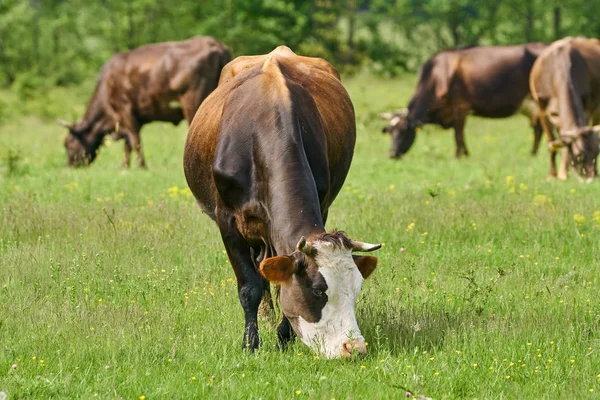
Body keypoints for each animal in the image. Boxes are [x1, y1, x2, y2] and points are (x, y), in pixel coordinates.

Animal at [58, 36, 231, 168]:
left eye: (68, 143)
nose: (69, 166)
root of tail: (214, 44)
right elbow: (128, 143)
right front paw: (125, 165)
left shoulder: (126, 111)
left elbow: (135, 141)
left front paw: (141, 165)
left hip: (193, 105)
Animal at [183, 45, 382, 358]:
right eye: (318, 290)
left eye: (357, 289)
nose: (354, 347)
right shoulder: (227, 221)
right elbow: (249, 286)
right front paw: (250, 344)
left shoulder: (320, 205)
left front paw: (284, 338)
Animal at [380, 42, 548, 158]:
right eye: (390, 131)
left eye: (403, 131)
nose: (392, 154)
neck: (438, 75)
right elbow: (459, 134)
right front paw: (465, 153)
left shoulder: (460, 107)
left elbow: (458, 134)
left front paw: (459, 156)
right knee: (538, 128)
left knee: (539, 129)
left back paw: (533, 153)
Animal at [528, 37, 600, 181]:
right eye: (579, 155)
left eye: (597, 152)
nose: (593, 177)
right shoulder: (542, 110)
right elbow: (552, 142)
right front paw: (552, 175)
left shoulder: (587, 109)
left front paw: (563, 174)